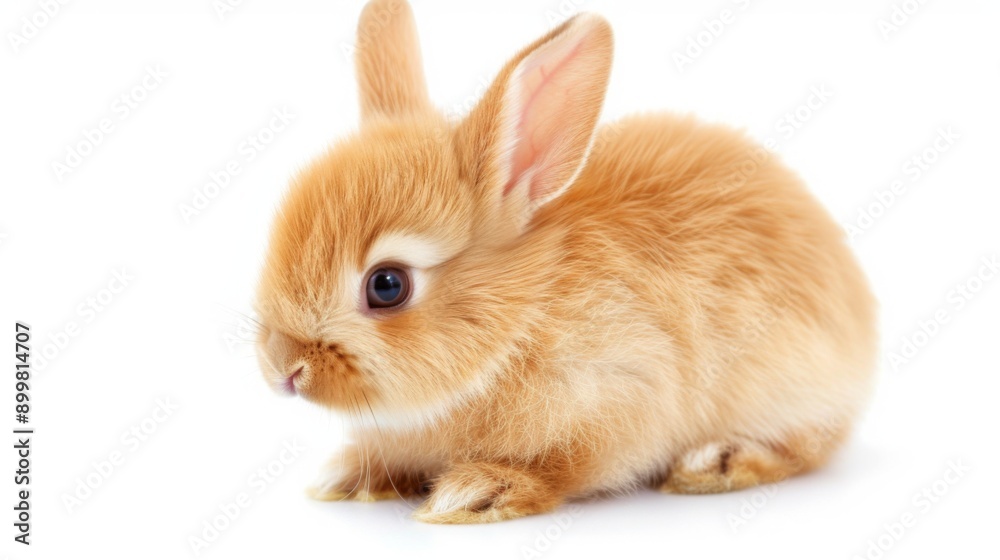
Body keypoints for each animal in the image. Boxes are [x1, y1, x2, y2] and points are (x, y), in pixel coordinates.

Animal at [253, 0, 877, 524]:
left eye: (387, 285)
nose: (284, 369)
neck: (521, 316)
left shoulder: (622, 394)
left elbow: (565, 467)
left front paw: (478, 492)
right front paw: (346, 476)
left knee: (807, 447)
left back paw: (718, 462)